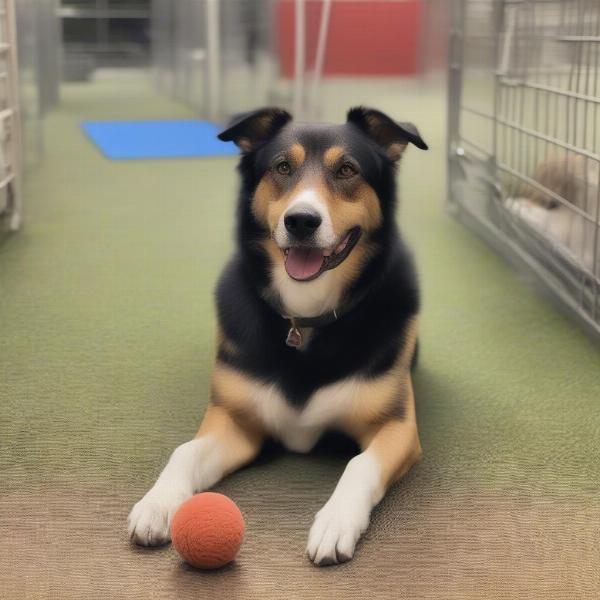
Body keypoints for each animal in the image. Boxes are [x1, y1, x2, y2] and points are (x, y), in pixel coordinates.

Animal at [125, 106, 426, 564]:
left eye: (347, 170)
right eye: (283, 167)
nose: (301, 220)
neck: (304, 316)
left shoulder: (397, 427)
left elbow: (359, 465)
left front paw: (335, 522)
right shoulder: (235, 420)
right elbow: (184, 451)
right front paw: (157, 504)